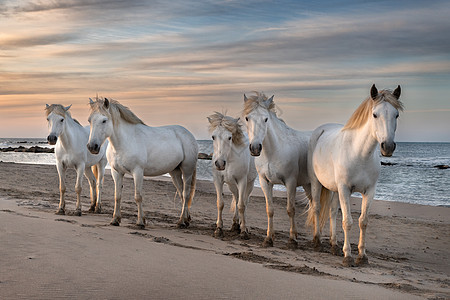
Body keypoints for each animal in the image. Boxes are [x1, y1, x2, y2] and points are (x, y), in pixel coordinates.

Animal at [87, 98, 198, 227]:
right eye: (89, 120)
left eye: (104, 120)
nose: (92, 147)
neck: (125, 141)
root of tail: (189, 135)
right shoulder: (116, 172)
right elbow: (117, 196)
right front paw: (115, 219)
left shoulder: (138, 172)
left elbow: (138, 197)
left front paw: (140, 221)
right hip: (174, 172)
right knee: (181, 194)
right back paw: (185, 219)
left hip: (187, 170)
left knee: (186, 194)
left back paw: (181, 221)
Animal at [241, 92, 312, 248]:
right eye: (247, 118)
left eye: (266, 119)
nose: (255, 148)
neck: (273, 151)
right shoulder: (265, 182)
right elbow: (270, 210)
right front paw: (269, 238)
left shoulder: (290, 183)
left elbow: (290, 209)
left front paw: (292, 239)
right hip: (308, 185)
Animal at [308, 84, 402, 268]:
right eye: (375, 114)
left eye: (396, 114)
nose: (387, 147)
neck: (360, 154)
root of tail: (320, 130)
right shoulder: (345, 189)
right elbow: (348, 222)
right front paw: (348, 257)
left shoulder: (369, 191)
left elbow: (363, 221)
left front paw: (362, 256)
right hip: (317, 183)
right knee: (316, 208)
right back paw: (317, 243)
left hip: (334, 189)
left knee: (332, 212)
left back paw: (334, 245)